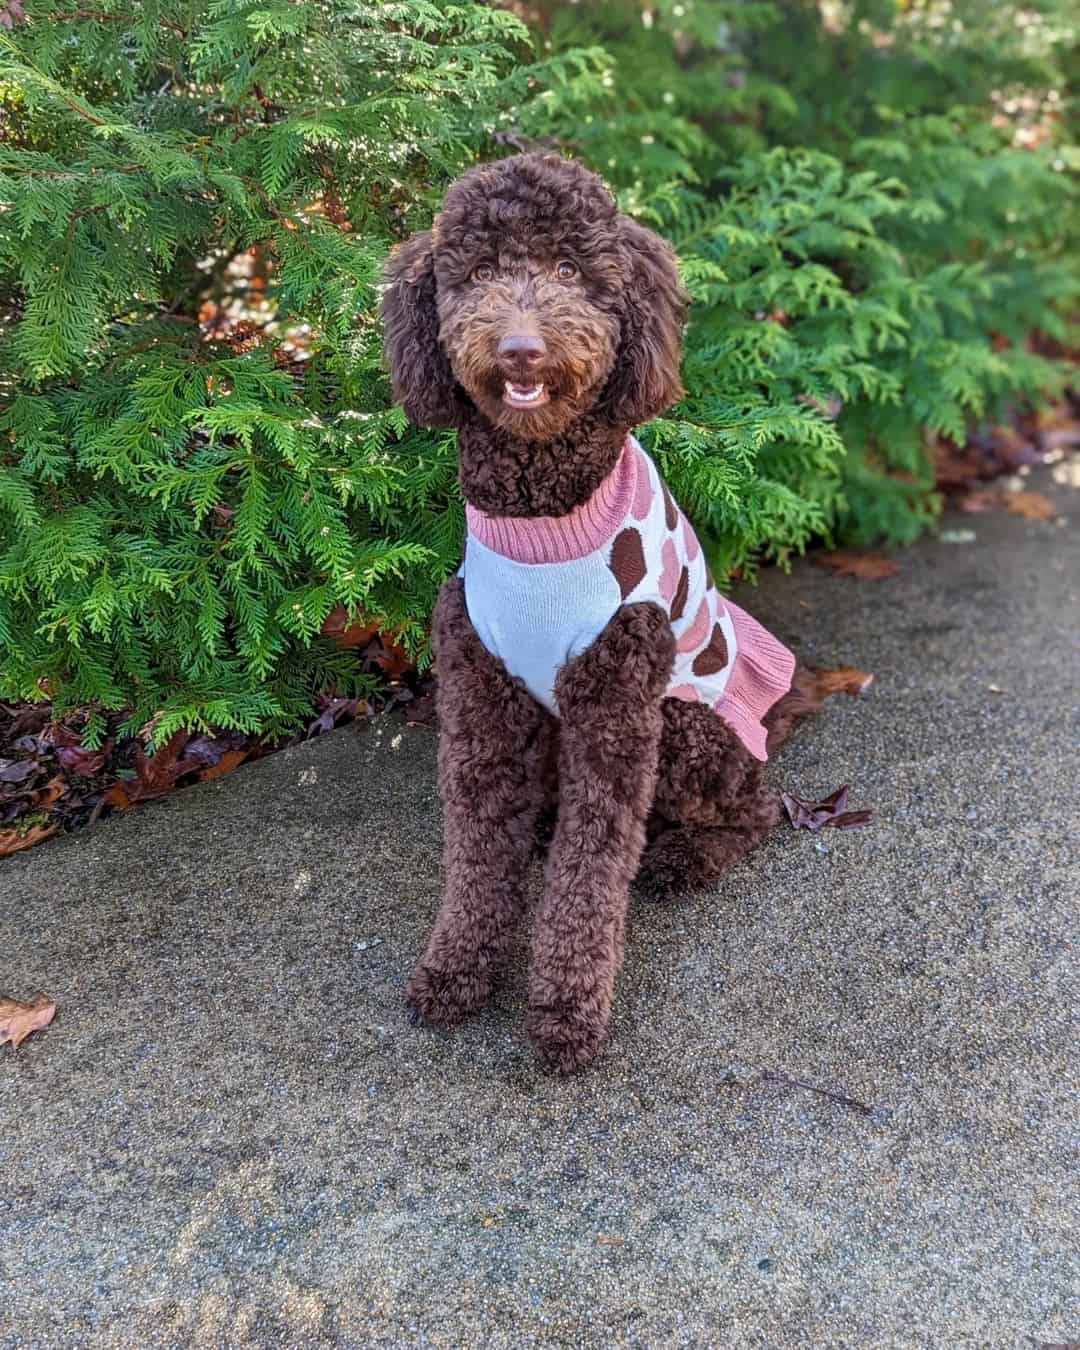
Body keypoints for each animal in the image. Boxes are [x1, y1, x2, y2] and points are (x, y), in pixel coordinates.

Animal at [383, 153, 815, 1069]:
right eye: (479, 272)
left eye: (570, 270)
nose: (521, 346)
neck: (543, 510)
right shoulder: (479, 697)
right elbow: (478, 849)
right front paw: (458, 968)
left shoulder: (616, 706)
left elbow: (593, 869)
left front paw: (566, 1010)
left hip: (684, 725)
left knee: (754, 810)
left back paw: (684, 858)